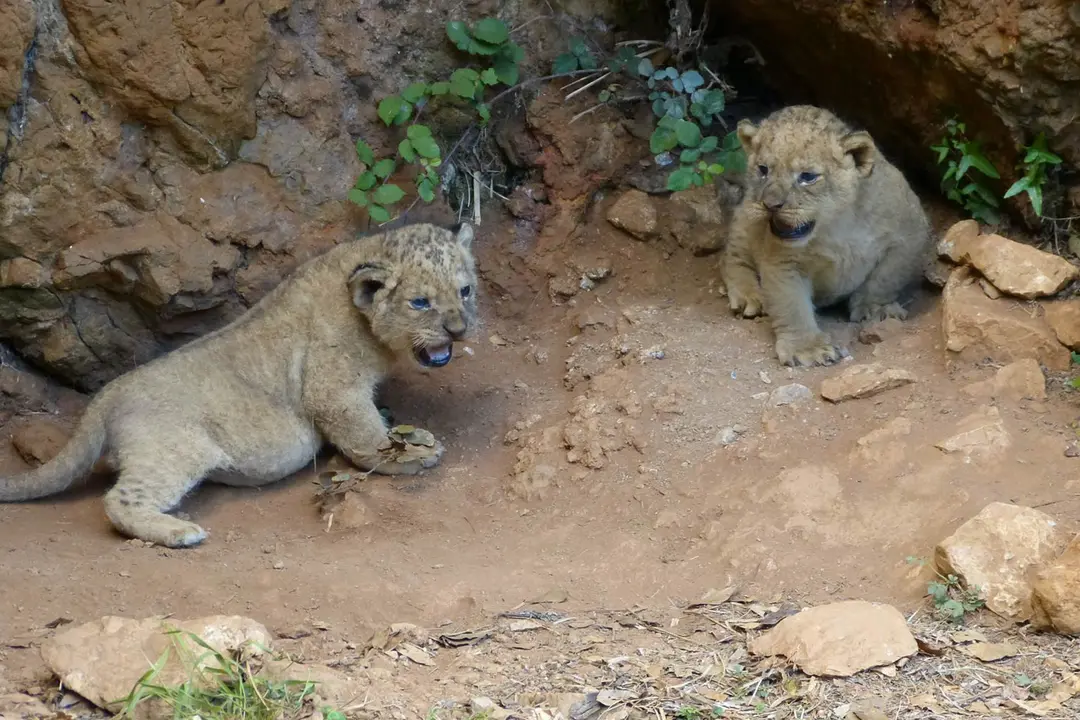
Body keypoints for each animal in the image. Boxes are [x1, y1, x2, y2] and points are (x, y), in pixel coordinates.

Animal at [0, 223, 479, 547]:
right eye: (420, 302)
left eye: (466, 291)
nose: (459, 330)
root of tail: (105, 395)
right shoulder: (333, 388)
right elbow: (365, 438)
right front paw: (407, 456)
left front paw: (405, 432)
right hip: (175, 449)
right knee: (120, 500)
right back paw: (179, 531)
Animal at [721, 105, 933, 367]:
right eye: (763, 170)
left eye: (808, 176)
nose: (770, 205)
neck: (835, 225)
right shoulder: (782, 261)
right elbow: (791, 304)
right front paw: (807, 348)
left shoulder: (910, 232)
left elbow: (886, 278)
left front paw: (876, 309)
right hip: (745, 218)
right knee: (732, 258)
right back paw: (749, 296)